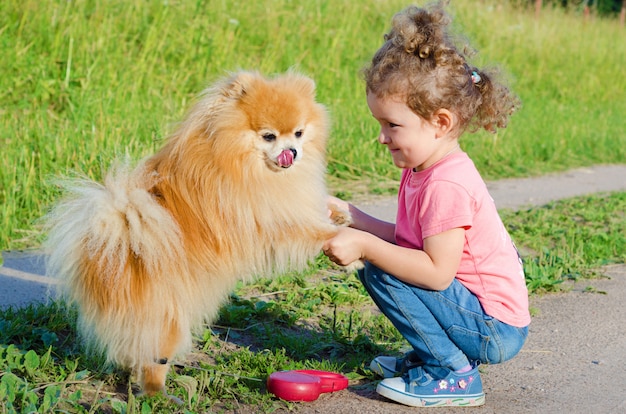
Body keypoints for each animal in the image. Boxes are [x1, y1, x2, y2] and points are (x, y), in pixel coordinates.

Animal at [44, 72, 356, 398]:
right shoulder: (263, 219)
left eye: (298, 133)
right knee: (153, 360)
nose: (292, 153)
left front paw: (340, 214)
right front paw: (344, 244)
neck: (235, 158)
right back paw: (161, 396)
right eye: (269, 136)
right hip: (168, 319)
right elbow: (307, 229)